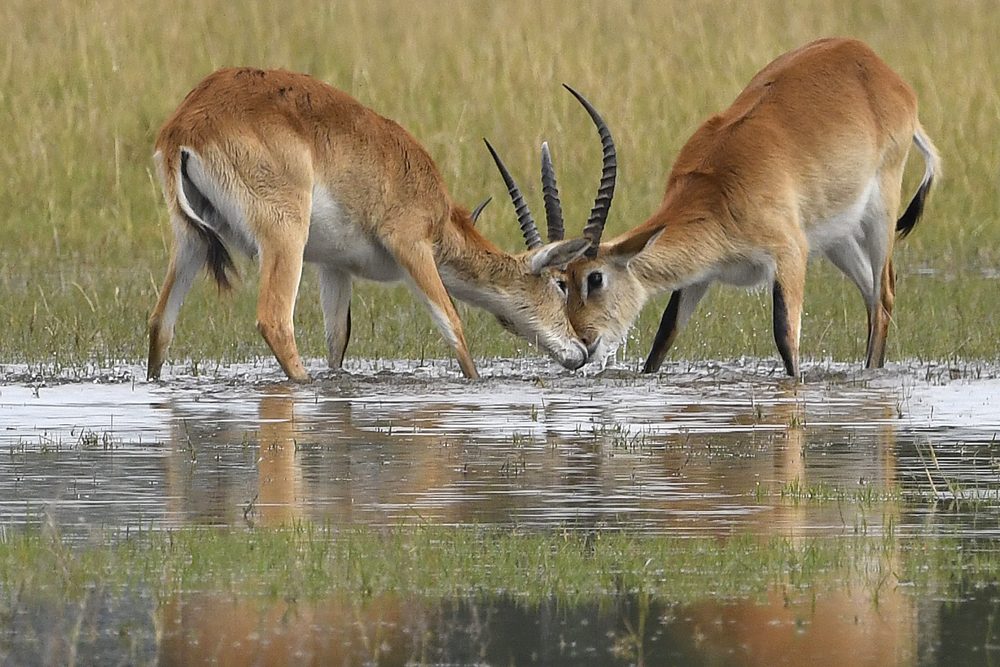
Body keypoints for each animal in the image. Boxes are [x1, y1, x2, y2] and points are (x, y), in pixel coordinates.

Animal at [146, 68, 608, 384]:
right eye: (561, 284)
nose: (582, 350)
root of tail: (185, 124)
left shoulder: (333, 266)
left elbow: (337, 340)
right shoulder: (412, 246)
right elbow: (453, 326)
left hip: (191, 242)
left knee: (160, 323)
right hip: (284, 236)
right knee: (274, 320)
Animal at [564, 39, 936, 378]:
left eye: (595, 278)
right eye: (563, 282)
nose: (582, 344)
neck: (717, 191)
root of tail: (874, 62)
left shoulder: (790, 254)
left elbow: (785, 337)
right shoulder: (701, 272)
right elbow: (665, 335)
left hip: (880, 212)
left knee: (884, 293)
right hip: (838, 237)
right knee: (871, 296)